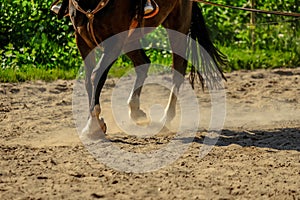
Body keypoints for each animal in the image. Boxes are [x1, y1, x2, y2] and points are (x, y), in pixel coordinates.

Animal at [63, 0, 227, 137]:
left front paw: (92, 126)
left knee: (178, 70)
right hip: (130, 38)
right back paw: (135, 110)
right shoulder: (81, 39)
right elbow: (87, 80)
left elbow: (96, 75)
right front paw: (94, 122)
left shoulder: (114, 42)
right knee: (143, 64)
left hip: (178, 25)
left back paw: (165, 117)